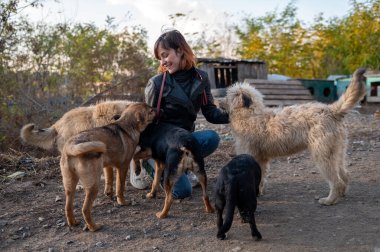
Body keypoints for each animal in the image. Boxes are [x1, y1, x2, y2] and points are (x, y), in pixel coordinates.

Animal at [60, 102, 155, 230]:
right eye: (150, 110)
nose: (158, 110)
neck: (125, 126)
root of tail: (71, 146)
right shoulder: (123, 167)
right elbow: (120, 187)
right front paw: (122, 202)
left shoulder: (107, 166)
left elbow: (109, 181)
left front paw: (109, 193)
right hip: (93, 186)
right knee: (85, 209)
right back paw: (94, 227)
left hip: (70, 185)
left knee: (68, 206)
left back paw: (73, 222)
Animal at [227, 68, 366, 205]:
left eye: (228, 94)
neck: (250, 114)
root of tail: (331, 110)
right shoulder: (262, 158)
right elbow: (262, 176)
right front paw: (259, 191)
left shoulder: (251, 154)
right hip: (337, 151)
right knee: (344, 174)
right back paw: (341, 194)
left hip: (323, 154)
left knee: (336, 181)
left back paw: (329, 200)